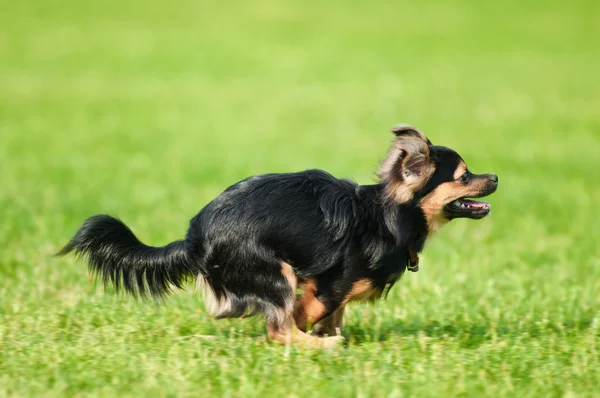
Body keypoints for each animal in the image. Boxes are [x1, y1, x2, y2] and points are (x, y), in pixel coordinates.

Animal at [57, 124, 496, 348]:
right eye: (464, 176)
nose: (494, 177)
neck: (391, 216)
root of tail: (194, 239)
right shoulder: (328, 285)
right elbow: (309, 313)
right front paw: (321, 337)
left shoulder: (335, 291)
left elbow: (335, 317)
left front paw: (333, 334)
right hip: (273, 272)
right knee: (278, 329)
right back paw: (318, 348)